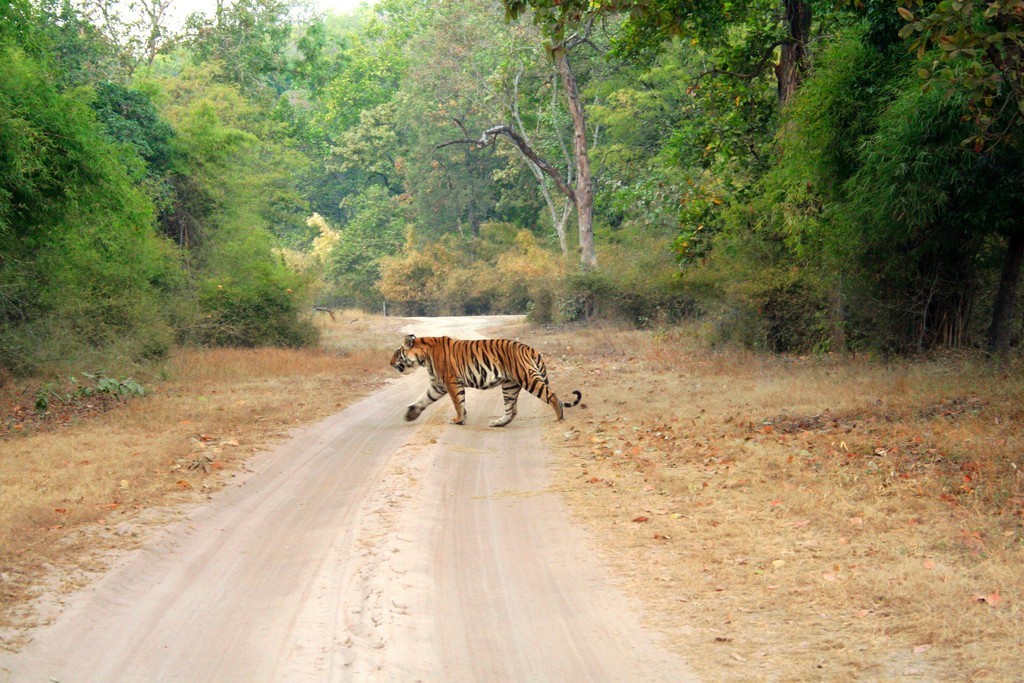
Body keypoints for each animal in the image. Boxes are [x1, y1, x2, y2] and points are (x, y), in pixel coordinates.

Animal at [391, 331, 581, 428]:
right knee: (511, 410)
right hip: (510, 386)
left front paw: (458, 420)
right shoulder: (438, 385)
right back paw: (498, 423)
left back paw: (559, 418)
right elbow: (424, 398)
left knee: (551, 395)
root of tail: (531, 349)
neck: (424, 357)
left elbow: (458, 402)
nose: (390, 363)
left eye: (397, 352)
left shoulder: (451, 381)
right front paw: (410, 414)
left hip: (528, 378)